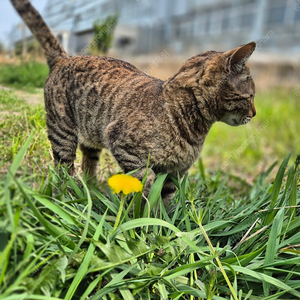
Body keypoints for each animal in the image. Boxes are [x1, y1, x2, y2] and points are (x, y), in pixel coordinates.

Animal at [10, 0, 256, 205]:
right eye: (252, 96)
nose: (254, 114)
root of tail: (65, 58)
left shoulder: (174, 173)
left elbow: (165, 204)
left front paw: (162, 225)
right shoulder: (122, 143)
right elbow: (144, 181)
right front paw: (141, 218)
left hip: (91, 133)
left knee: (88, 164)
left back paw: (91, 191)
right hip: (63, 133)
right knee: (64, 170)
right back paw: (70, 196)